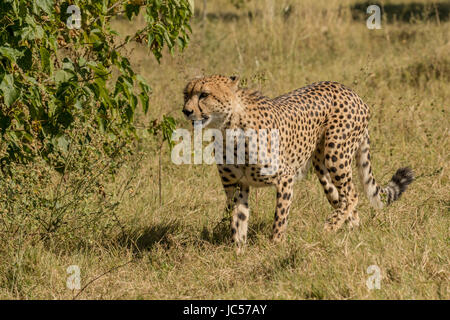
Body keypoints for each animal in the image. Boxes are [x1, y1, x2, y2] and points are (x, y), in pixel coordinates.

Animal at [181, 75, 414, 245]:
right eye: (186, 94)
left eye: (204, 94)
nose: (186, 110)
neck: (228, 128)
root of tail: (350, 91)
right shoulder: (237, 186)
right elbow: (238, 221)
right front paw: (238, 252)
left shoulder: (285, 177)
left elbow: (280, 216)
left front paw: (275, 245)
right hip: (322, 167)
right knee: (341, 198)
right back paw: (351, 231)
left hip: (336, 154)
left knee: (352, 194)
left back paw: (330, 226)